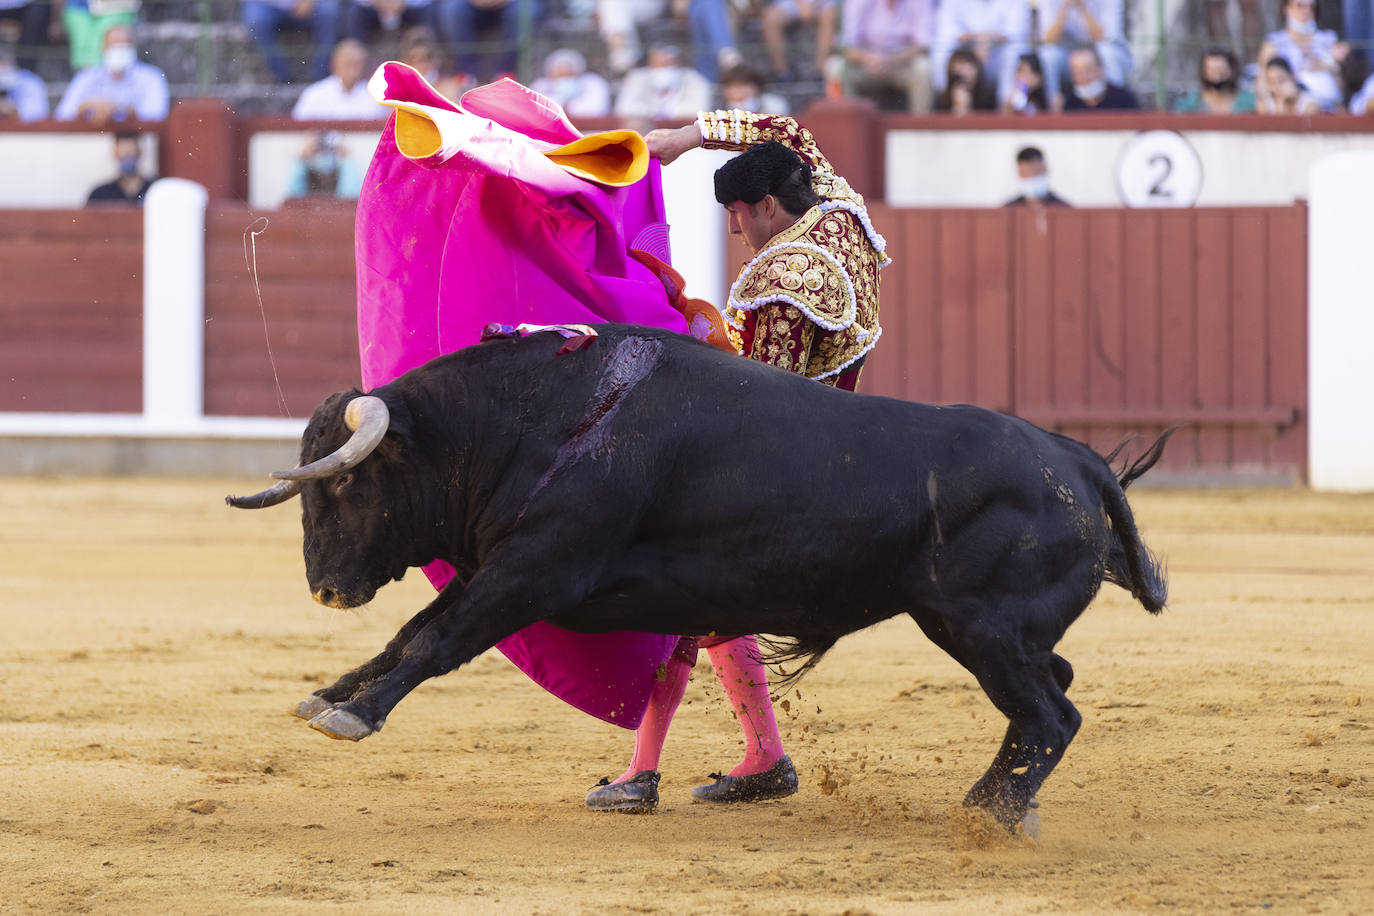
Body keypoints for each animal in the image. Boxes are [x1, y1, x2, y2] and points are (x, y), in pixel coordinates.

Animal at [228, 325, 1170, 834]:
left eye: (345, 484)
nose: (326, 590)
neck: (536, 418)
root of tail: (1078, 462)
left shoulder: (534, 570)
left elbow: (438, 641)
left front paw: (354, 715)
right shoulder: (502, 561)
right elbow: (407, 635)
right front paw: (329, 694)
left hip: (980, 628)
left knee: (1052, 713)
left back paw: (986, 812)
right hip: (988, 631)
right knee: (1052, 694)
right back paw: (1009, 804)